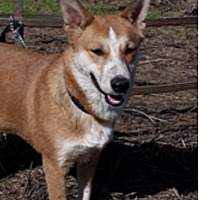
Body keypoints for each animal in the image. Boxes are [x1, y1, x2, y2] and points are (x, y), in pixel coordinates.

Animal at [0, 0, 150, 200]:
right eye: (97, 51)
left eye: (130, 49)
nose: (120, 84)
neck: (79, 105)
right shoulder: (55, 165)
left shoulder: (90, 157)